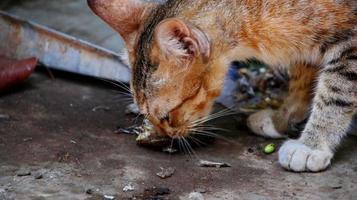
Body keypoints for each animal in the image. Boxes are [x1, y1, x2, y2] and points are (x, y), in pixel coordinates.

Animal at [87, 0, 354, 172]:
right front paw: (282, 118)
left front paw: (312, 145)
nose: (169, 136)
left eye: (167, 115)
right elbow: (302, 75)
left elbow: (335, 93)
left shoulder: (350, 44)